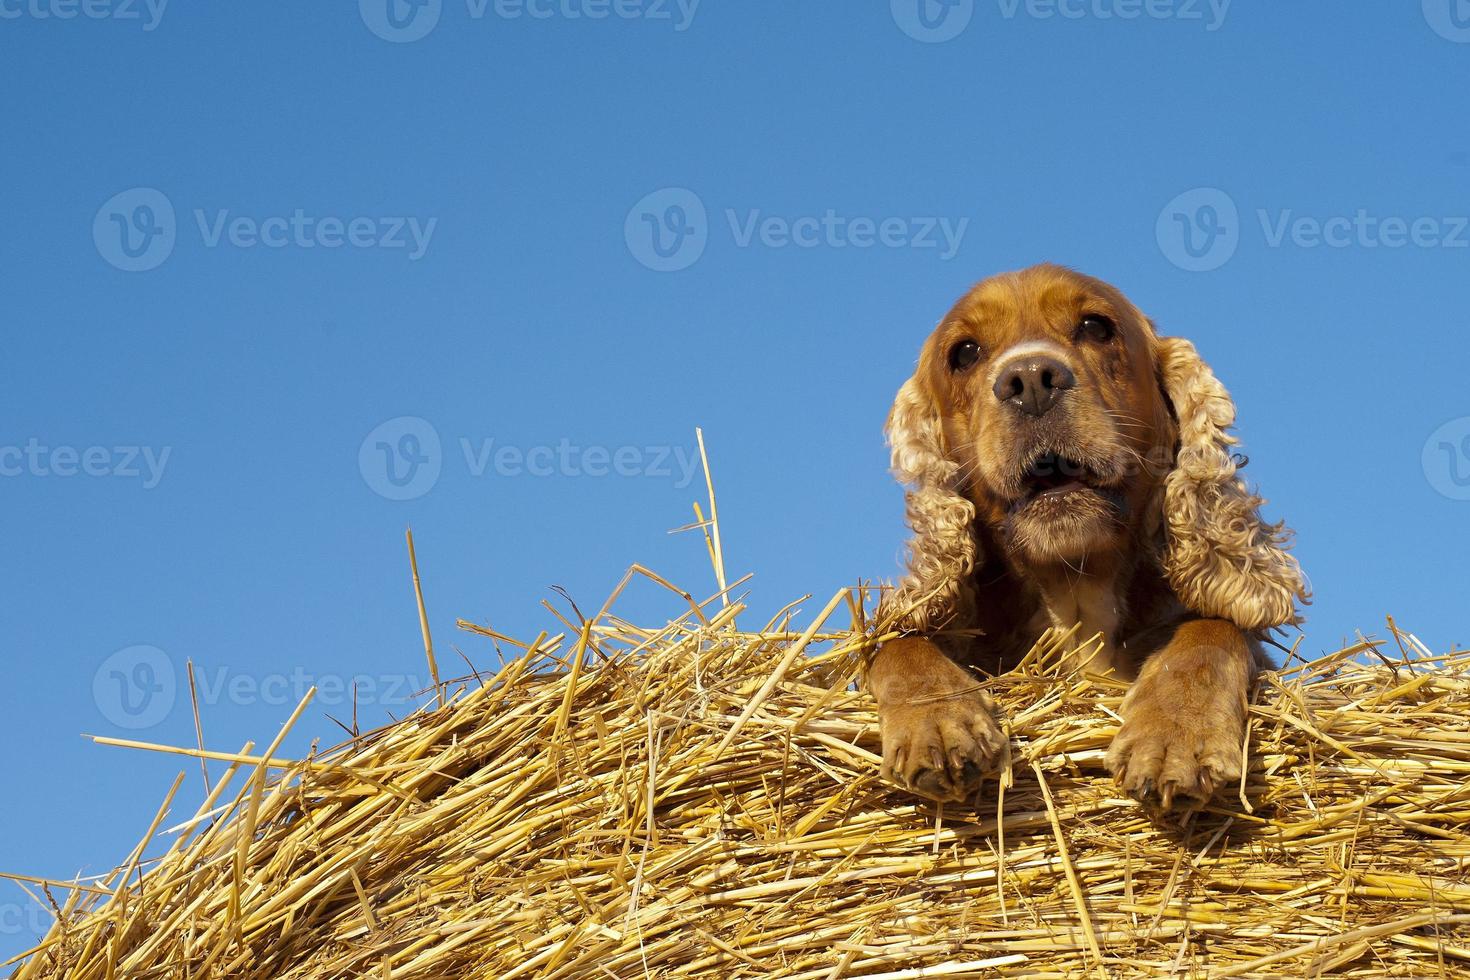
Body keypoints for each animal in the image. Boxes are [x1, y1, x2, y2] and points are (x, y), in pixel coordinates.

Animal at [864, 264, 1305, 811]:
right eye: (964, 353)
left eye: (1097, 326)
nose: (1030, 380)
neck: (1075, 594)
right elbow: (898, 642)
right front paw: (938, 724)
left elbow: (1214, 628)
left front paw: (1175, 736)